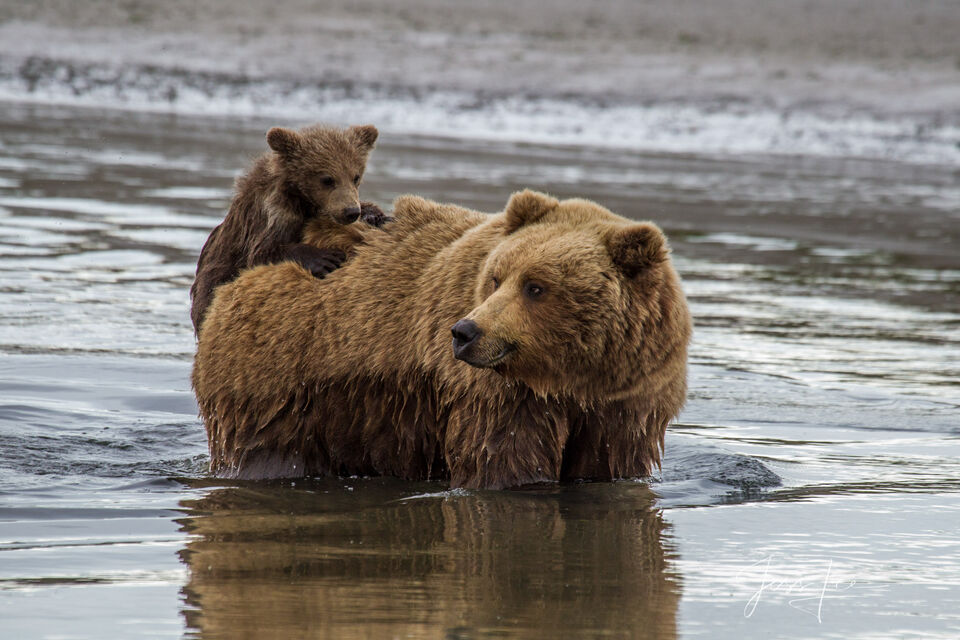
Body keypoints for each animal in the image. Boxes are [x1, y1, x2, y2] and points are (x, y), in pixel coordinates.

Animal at [189, 123, 386, 334]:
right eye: (327, 179)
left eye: (356, 176)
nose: (351, 211)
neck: (303, 201)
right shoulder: (269, 217)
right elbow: (261, 254)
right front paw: (324, 259)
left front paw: (374, 215)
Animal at [191, 190, 692, 489]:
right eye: (496, 278)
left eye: (536, 287)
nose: (466, 332)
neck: (569, 376)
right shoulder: (498, 395)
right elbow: (506, 460)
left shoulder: (627, 400)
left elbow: (610, 464)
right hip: (277, 377)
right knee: (269, 450)